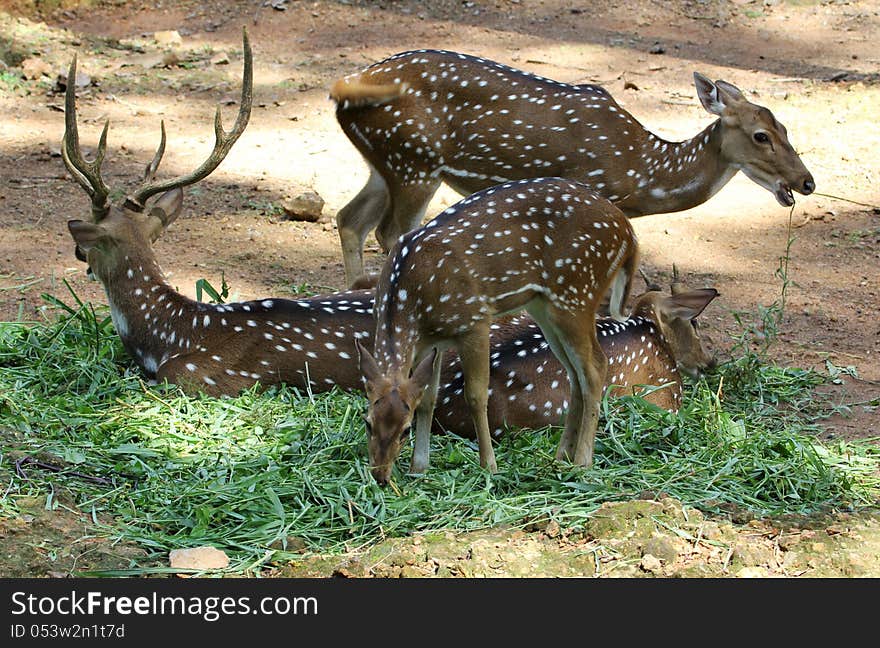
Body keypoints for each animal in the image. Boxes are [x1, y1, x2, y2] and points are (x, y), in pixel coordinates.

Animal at [332, 50, 820, 284]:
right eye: (761, 135)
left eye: (786, 127)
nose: (807, 181)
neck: (643, 174)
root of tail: (343, 88)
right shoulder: (585, 192)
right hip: (414, 159)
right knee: (392, 232)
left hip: (384, 161)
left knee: (350, 219)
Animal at [354, 175, 636, 484]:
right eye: (367, 422)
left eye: (405, 430)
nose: (380, 475)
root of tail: (628, 232)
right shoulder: (435, 342)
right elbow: (428, 398)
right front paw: (419, 467)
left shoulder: (474, 319)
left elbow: (476, 396)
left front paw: (489, 466)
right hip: (546, 308)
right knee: (576, 375)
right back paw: (561, 457)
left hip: (577, 294)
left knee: (596, 367)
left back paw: (583, 462)